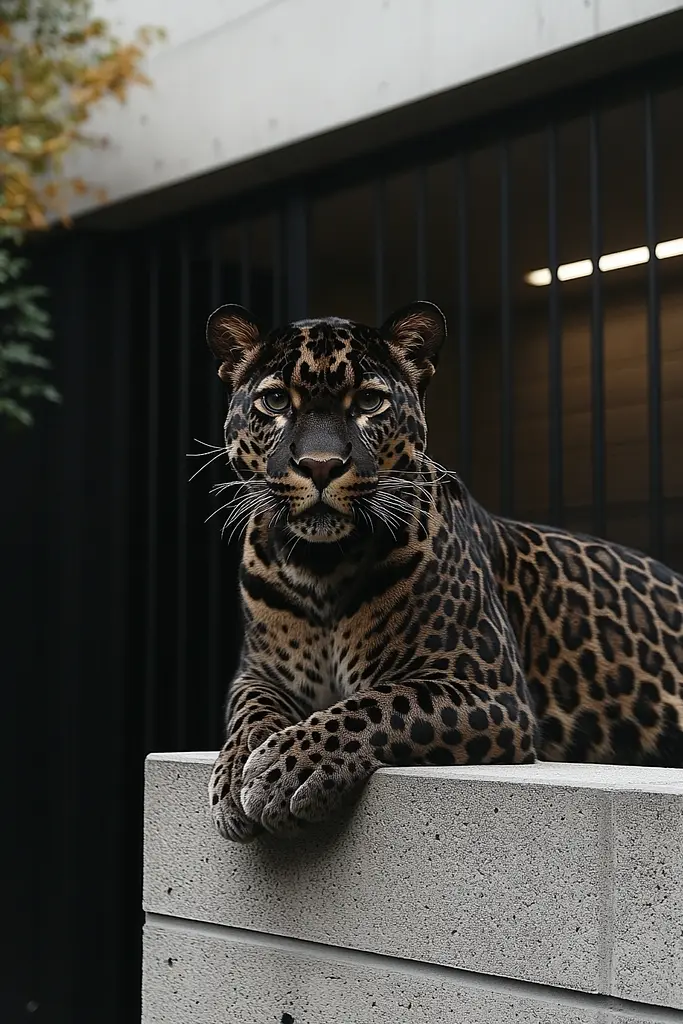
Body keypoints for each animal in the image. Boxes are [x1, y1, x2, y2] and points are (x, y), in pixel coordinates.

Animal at [202, 299, 683, 839]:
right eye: (276, 401)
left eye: (369, 402)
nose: (320, 465)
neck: (320, 566)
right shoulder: (259, 674)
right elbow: (250, 713)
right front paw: (234, 773)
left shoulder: (489, 689)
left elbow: (378, 705)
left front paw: (283, 768)